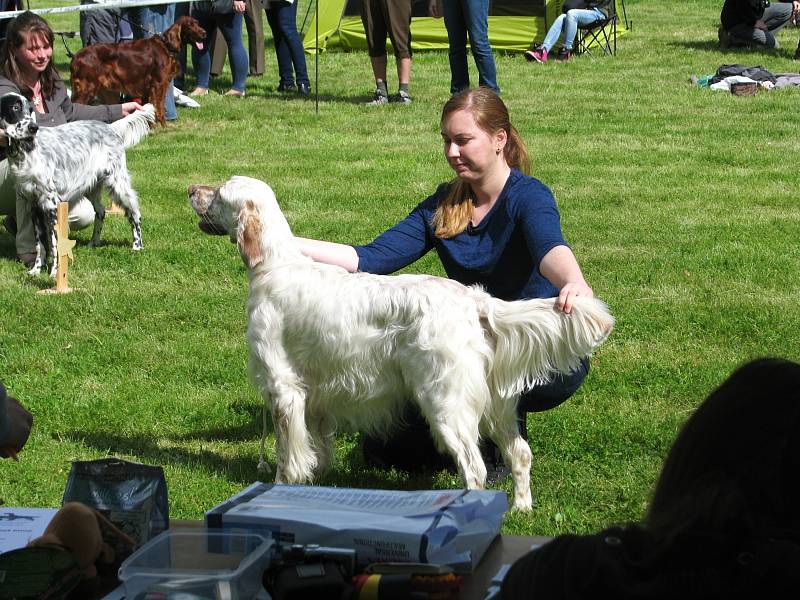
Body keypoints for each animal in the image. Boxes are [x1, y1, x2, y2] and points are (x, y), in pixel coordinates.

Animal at [0, 92, 155, 276]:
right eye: (15, 107)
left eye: (29, 110)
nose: (33, 127)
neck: (26, 151)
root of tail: (110, 128)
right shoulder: (34, 205)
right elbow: (40, 245)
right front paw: (36, 269)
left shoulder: (51, 205)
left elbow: (54, 244)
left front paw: (54, 272)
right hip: (92, 187)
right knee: (101, 211)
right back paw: (94, 242)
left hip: (118, 183)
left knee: (135, 213)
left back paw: (137, 246)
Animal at [70, 17, 205, 124]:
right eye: (190, 25)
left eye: (198, 23)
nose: (204, 33)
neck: (166, 45)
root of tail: (76, 57)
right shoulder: (158, 85)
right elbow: (159, 107)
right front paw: (163, 127)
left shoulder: (147, 88)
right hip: (87, 88)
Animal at [188, 176, 612, 508]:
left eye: (220, 191)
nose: (190, 189)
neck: (275, 265)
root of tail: (473, 299)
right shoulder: (318, 395)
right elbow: (316, 452)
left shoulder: (283, 387)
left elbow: (286, 456)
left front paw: (277, 492)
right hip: (498, 404)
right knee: (520, 453)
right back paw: (521, 509)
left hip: (445, 401)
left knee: (474, 467)